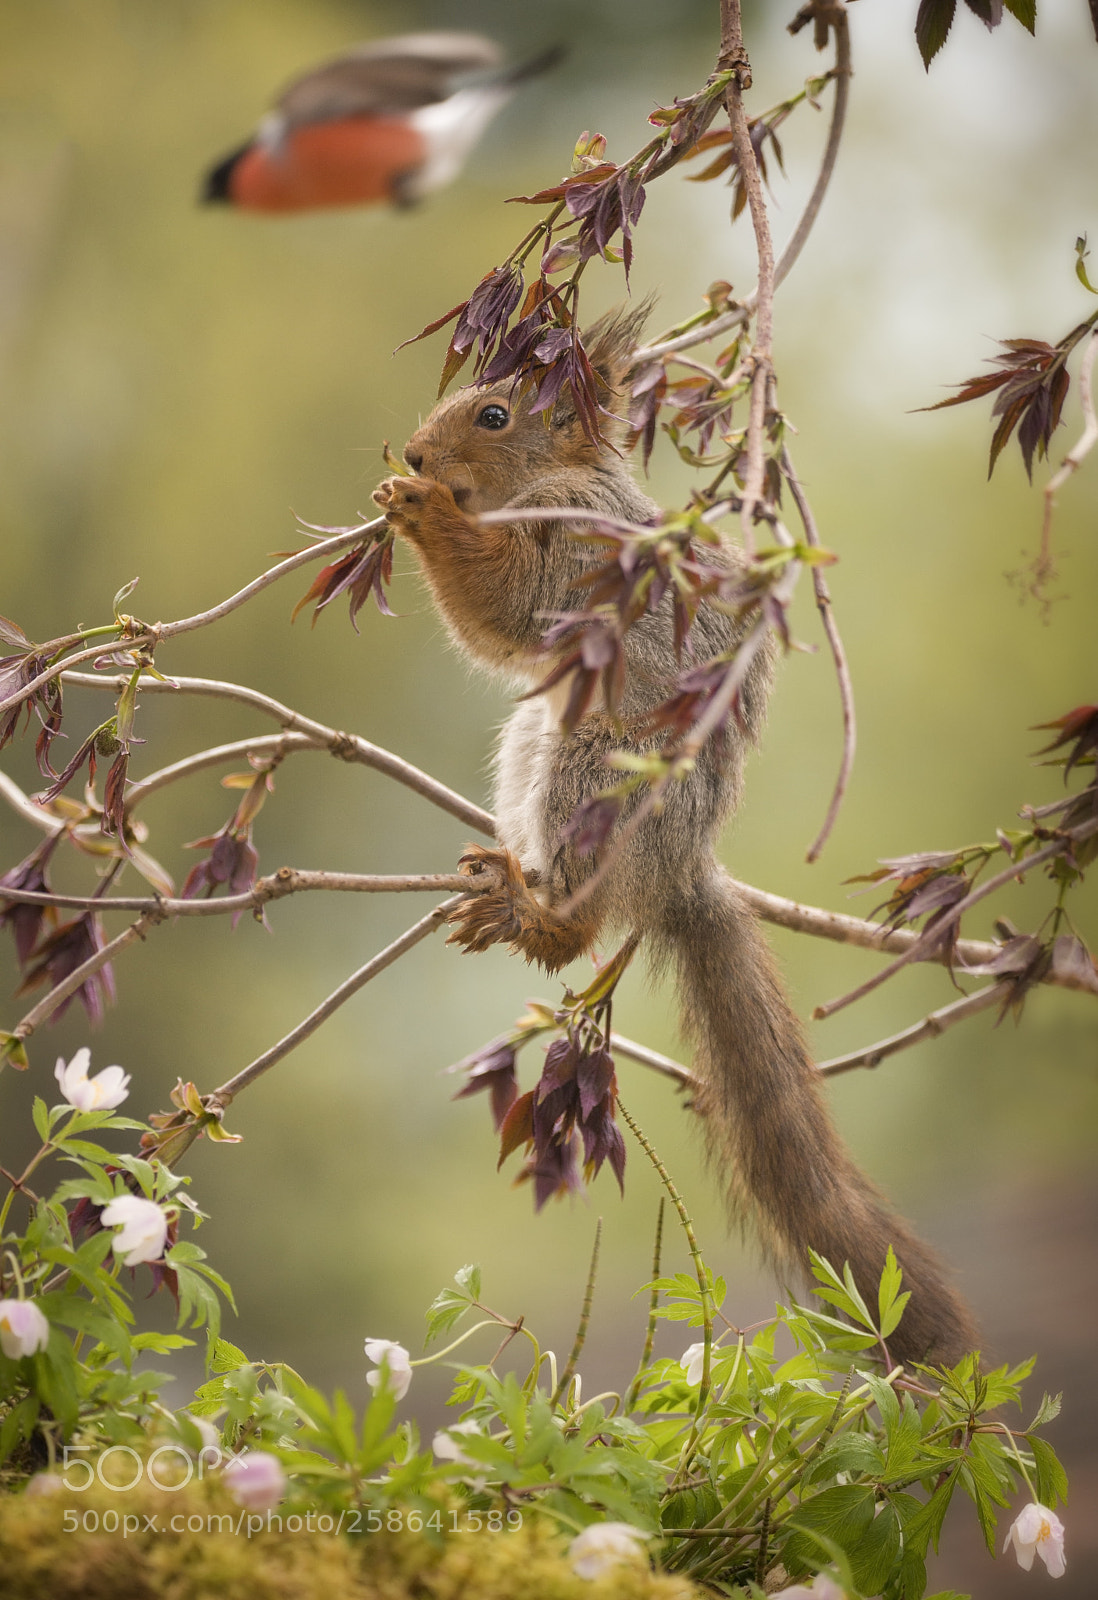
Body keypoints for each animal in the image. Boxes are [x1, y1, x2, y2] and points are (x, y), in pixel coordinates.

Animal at [373, 305, 977, 1368]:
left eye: (493, 414)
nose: (414, 453)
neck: (546, 482)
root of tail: (681, 868)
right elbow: (495, 627)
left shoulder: (575, 550)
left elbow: (503, 603)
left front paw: (422, 508)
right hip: (535, 748)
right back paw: (515, 886)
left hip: (596, 774)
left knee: (580, 929)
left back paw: (537, 917)